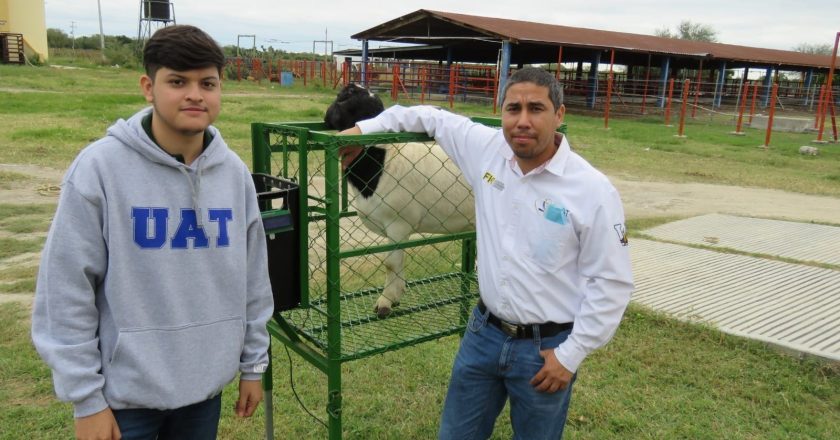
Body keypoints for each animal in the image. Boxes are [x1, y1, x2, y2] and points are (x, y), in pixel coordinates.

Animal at [324, 83, 476, 316]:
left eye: (343, 97)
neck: (381, 160)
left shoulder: (398, 224)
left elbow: (391, 263)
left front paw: (385, 302)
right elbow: (396, 262)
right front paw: (396, 294)